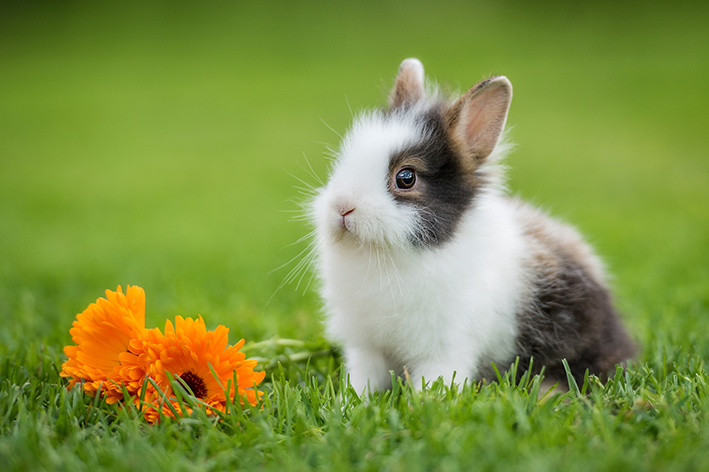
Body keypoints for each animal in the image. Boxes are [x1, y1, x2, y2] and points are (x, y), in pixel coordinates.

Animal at [306, 57, 632, 392]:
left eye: (406, 177)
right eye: (343, 160)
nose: (342, 207)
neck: (382, 257)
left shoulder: (445, 349)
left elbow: (434, 381)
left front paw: (424, 402)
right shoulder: (366, 348)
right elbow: (363, 380)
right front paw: (352, 399)